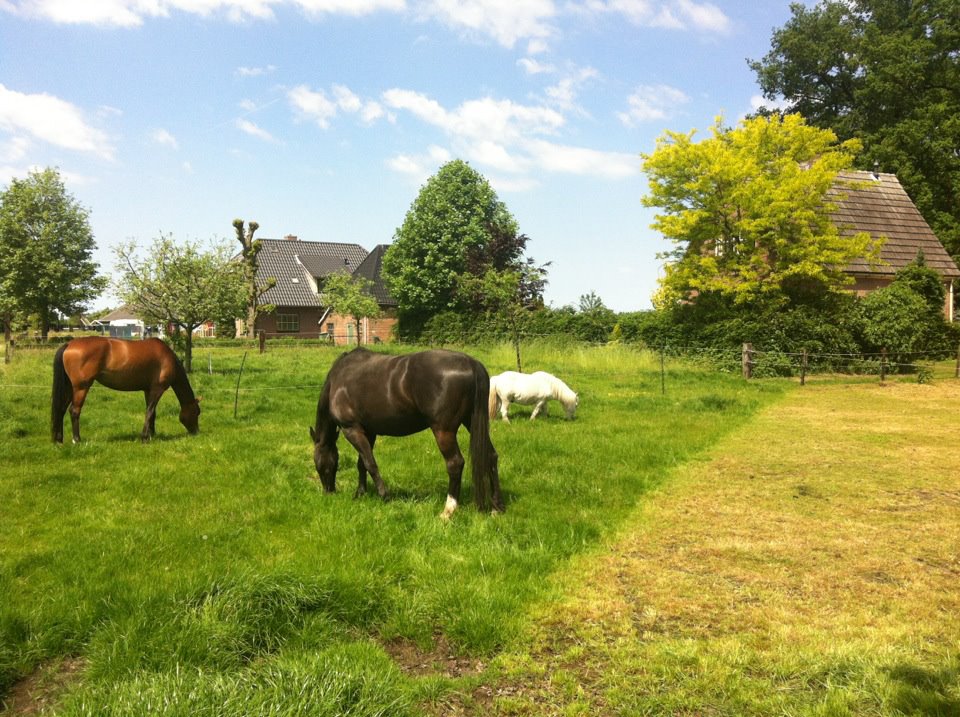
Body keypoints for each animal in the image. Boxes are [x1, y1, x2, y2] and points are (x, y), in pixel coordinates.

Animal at [51, 336, 201, 442]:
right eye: (197, 412)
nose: (196, 432)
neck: (167, 358)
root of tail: (69, 344)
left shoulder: (148, 390)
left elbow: (152, 412)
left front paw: (151, 434)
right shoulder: (158, 389)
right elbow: (149, 412)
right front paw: (145, 437)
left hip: (70, 388)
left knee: (61, 409)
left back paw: (59, 439)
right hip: (81, 388)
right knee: (74, 411)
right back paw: (77, 439)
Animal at [310, 346, 506, 516]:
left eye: (319, 465)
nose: (329, 492)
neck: (338, 380)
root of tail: (471, 363)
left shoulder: (351, 429)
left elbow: (370, 463)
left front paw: (384, 495)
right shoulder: (368, 431)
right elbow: (362, 463)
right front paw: (360, 493)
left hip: (443, 430)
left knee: (455, 463)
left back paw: (448, 511)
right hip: (470, 422)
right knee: (490, 456)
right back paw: (497, 507)